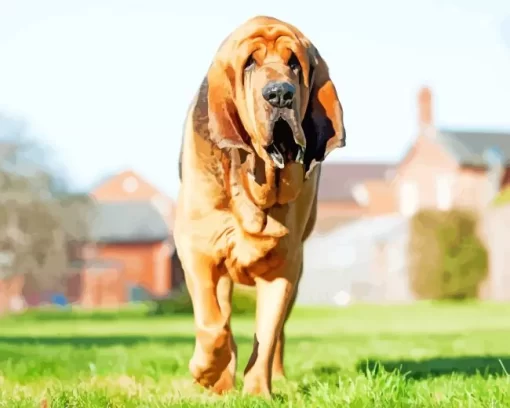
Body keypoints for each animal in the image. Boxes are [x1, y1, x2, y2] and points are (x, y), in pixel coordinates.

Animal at [173, 16, 344, 398]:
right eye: (250, 62)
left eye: (294, 63)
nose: (280, 94)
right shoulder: (198, 250)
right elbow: (213, 324)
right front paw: (206, 372)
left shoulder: (284, 268)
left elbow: (266, 335)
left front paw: (258, 393)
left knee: (277, 335)